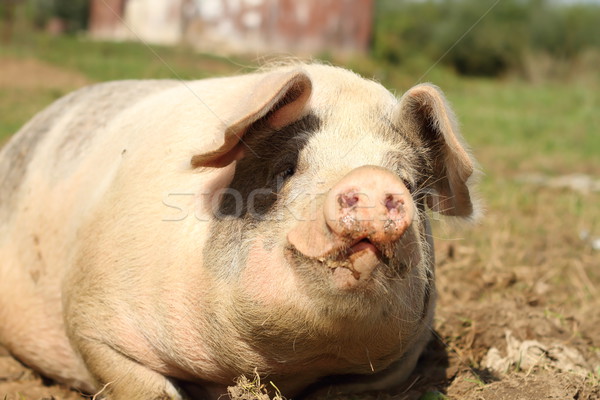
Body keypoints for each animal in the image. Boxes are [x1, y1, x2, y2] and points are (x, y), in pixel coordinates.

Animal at [0, 62, 478, 400]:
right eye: (287, 168)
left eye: (410, 184)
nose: (375, 179)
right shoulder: (90, 311)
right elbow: (139, 382)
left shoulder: (401, 361)